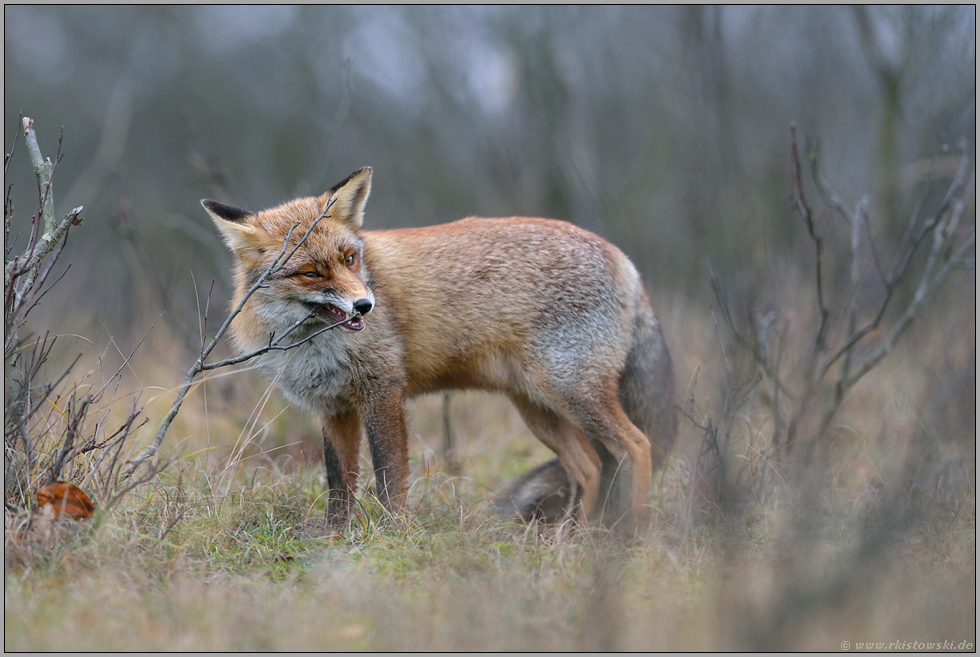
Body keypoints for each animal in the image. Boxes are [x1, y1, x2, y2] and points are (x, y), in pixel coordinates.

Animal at [199, 168, 672, 528]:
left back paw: (627, 537)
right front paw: (335, 539)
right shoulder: (333, 408)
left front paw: (393, 536)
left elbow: (389, 479)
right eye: (311, 272)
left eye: (350, 259)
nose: (365, 305)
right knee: (590, 466)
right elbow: (339, 485)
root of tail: (623, 259)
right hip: (538, 408)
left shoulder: (382, 391)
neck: (313, 344)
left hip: (571, 392)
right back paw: (573, 537)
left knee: (637, 447)